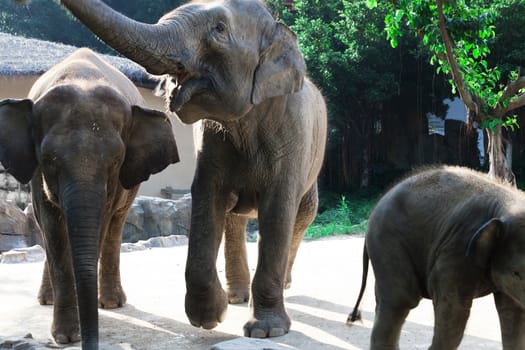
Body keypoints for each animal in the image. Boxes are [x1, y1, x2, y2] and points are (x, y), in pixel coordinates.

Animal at [0, 47, 179, 348]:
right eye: (48, 159)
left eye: (116, 160)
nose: (88, 341)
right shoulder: (36, 174)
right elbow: (52, 230)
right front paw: (65, 336)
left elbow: (98, 226)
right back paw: (47, 299)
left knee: (115, 227)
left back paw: (111, 303)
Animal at [56, 0, 328, 338]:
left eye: (219, 29)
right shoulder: (210, 143)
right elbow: (206, 199)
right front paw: (209, 319)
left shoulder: (292, 136)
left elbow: (279, 211)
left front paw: (265, 331)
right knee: (235, 219)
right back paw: (238, 297)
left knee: (302, 215)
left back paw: (285, 285)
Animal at [348, 166, 525, 350]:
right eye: (516, 273)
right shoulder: (457, 249)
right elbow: (454, 310)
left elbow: (512, 312)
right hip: (387, 242)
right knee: (400, 299)